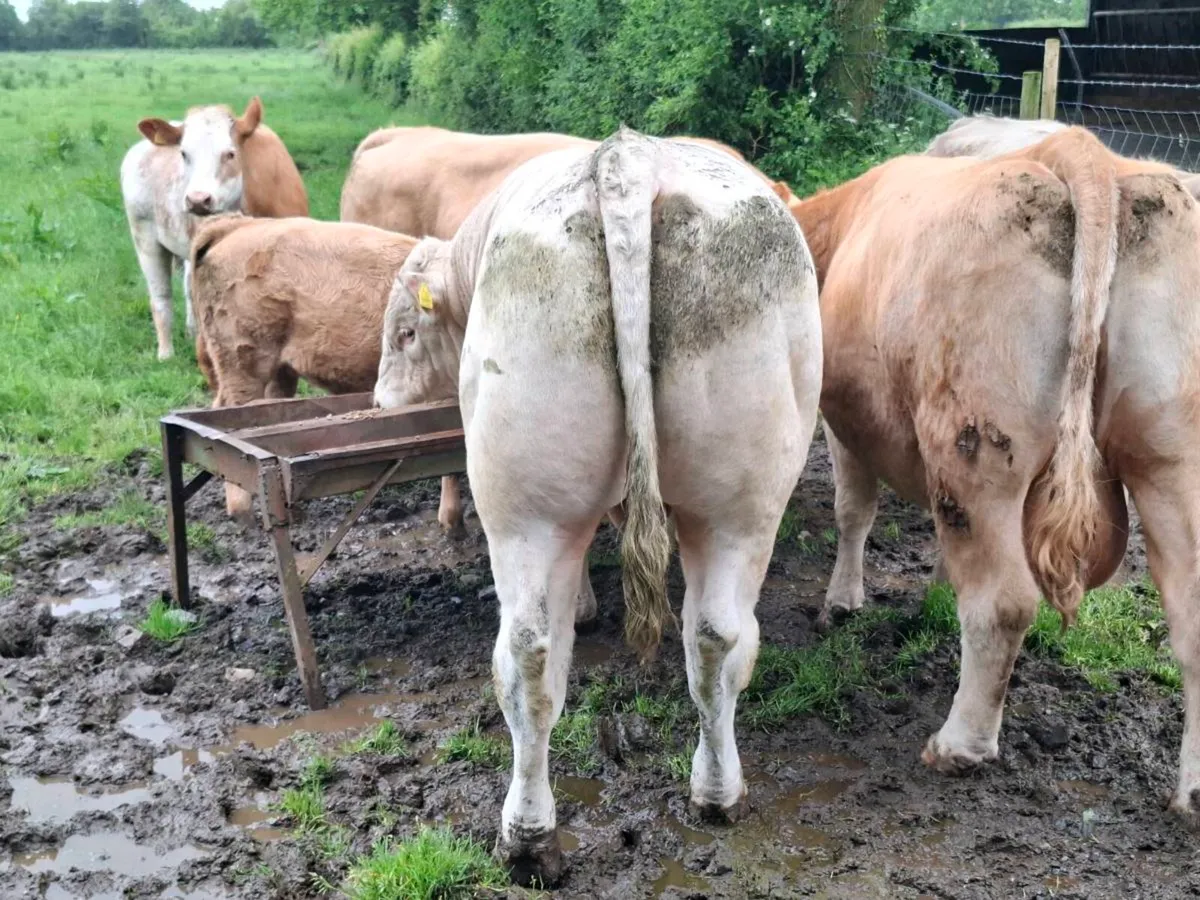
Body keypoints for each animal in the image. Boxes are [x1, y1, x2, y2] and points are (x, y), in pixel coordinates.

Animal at [120, 97, 308, 360]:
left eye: (230, 154)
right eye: (184, 154)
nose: (198, 200)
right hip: (144, 236)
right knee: (161, 298)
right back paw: (166, 353)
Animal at [373, 127, 823, 883]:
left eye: (405, 332)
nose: (377, 404)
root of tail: (629, 158)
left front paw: (585, 602)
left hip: (534, 507)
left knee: (536, 652)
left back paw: (534, 833)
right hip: (730, 503)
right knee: (708, 639)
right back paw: (699, 797)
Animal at [775, 126, 1200, 825]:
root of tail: (1087, 156)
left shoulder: (843, 421)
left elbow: (853, 510)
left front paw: (842, 601)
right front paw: (935, 591)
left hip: (975, 447)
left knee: (1003, 601)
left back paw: (959, 746)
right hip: (1172, 464)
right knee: (1192, 616)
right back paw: (1191, 792)